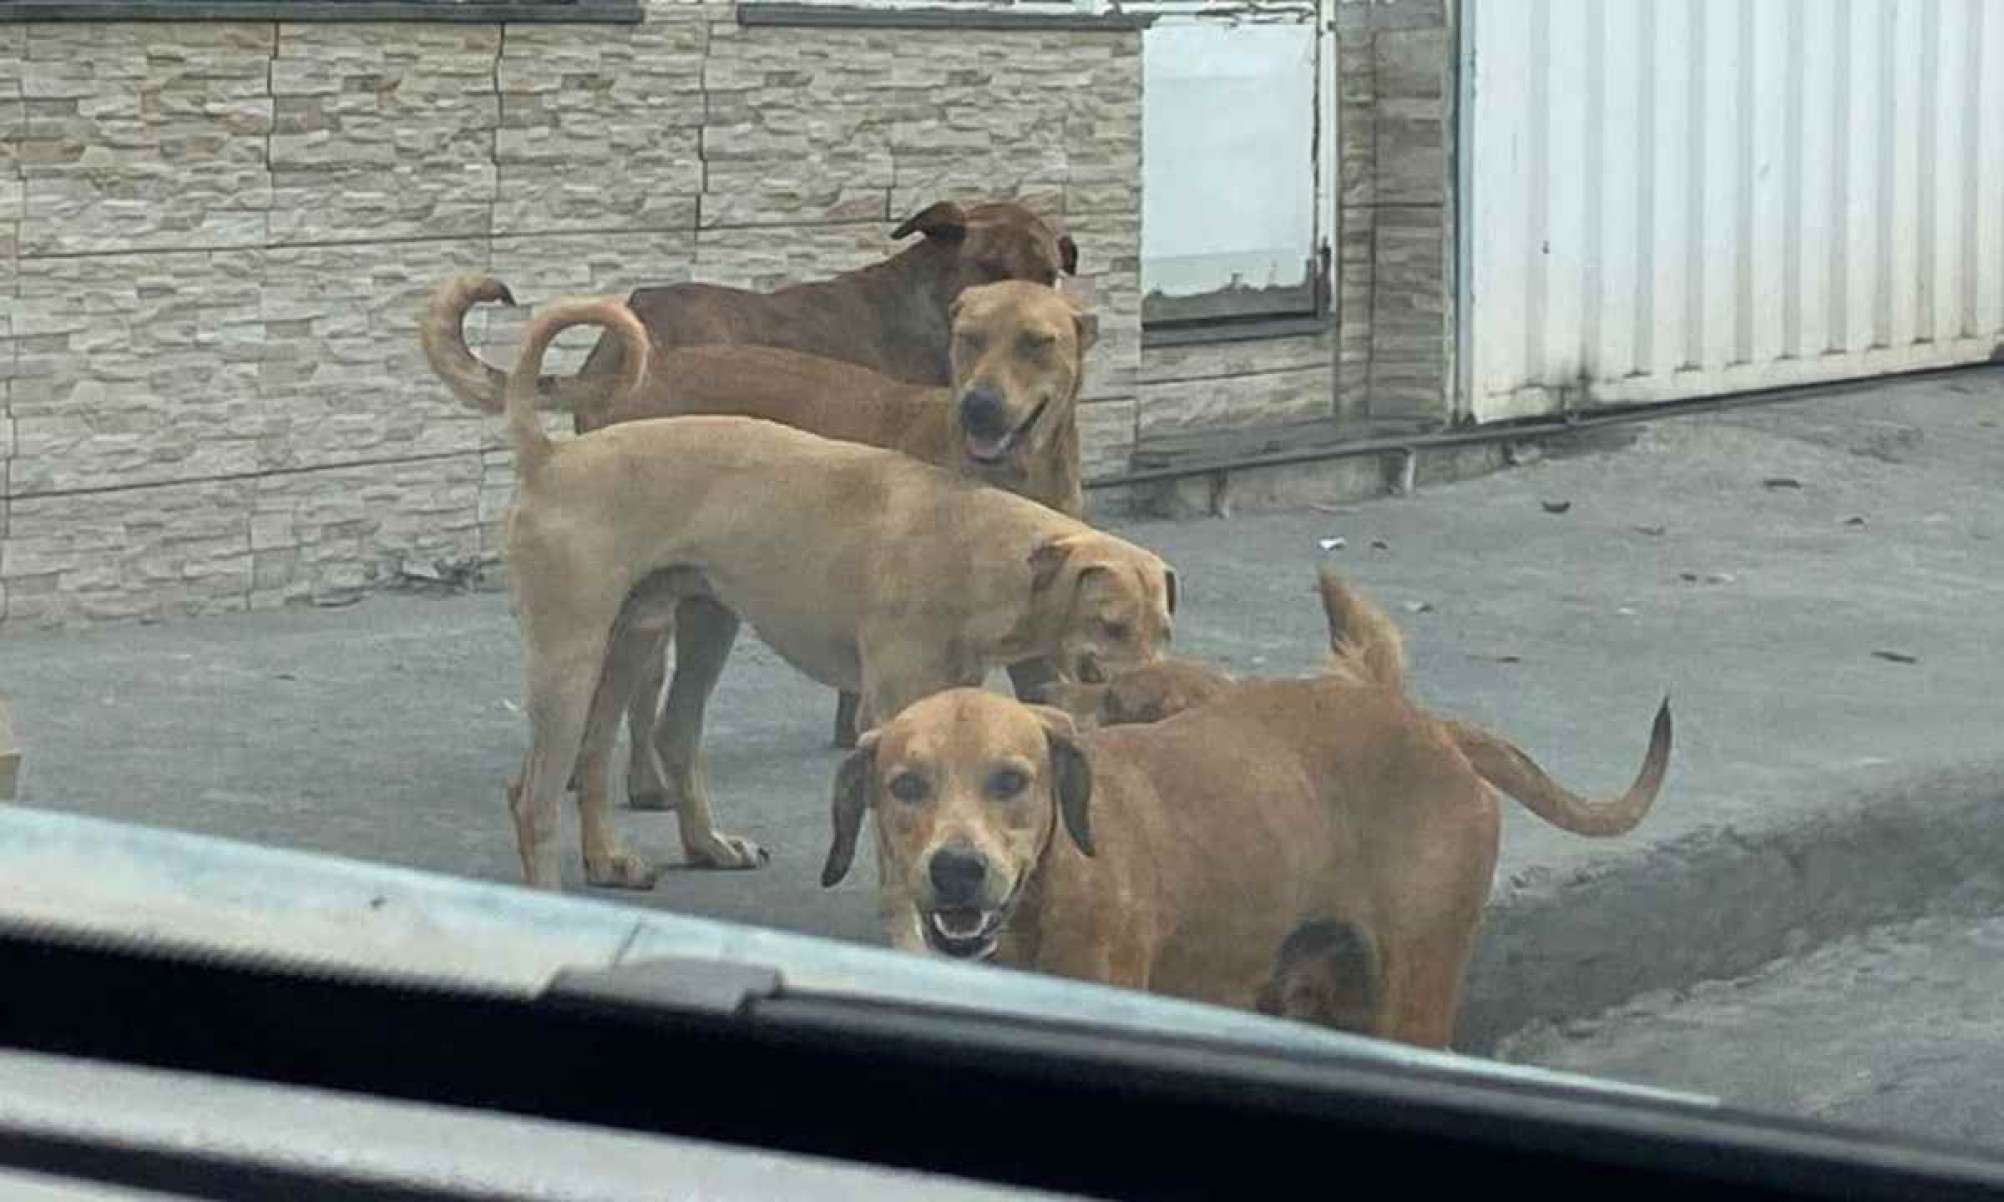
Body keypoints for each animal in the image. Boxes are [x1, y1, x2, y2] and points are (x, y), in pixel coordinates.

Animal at [501, 296, 1178, 885]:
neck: (969, 539)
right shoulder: (893, 716)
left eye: (1165, 632)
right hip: (573, 660)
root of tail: (550, 457)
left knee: (635, 744)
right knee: (533, 797)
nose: (1162, 701)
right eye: (1111, 625)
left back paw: (657, 853)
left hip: (668, 630)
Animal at [821, 568, 1667, 1049]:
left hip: (1413, 989)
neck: (1047, 889)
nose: (958, 870)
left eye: (1011, 780)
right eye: (905, 785)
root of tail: (1428, 726)